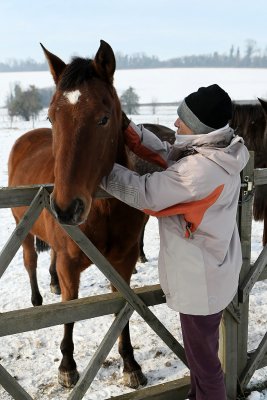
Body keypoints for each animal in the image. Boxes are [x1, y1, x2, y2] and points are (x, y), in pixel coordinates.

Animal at [7, 42, 147, 390]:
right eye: (51, 116)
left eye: (103, 118)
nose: (65, 208)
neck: (105, 210)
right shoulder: (71, 266)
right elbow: (70, 312)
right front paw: (67, 366)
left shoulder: (122, 265)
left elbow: (121, 308)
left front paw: (130, 364)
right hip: (22, 229)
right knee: (30, 261)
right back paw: (37, 299)